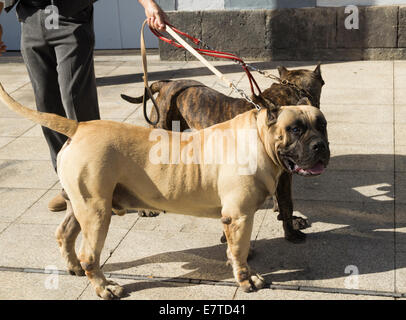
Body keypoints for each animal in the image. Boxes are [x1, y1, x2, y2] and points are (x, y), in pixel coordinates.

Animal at [0, 82, 330, 300]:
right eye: (296, 129)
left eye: (322, 125)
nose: (321, 146)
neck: (260, 137)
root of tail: (79, 126)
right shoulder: (238, 216)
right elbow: (238, 250)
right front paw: (246, 279)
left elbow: (236, 247)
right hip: (96, 212)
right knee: (89, 255)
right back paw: (105, 287)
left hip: (82, 203)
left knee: (65, 233)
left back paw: (73, 268)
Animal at [122, 63, 326, 242]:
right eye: (298, 129)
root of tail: (167, 84)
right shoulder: (281, 174)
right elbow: (286, 203)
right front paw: (290, 233)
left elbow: (281, 199)